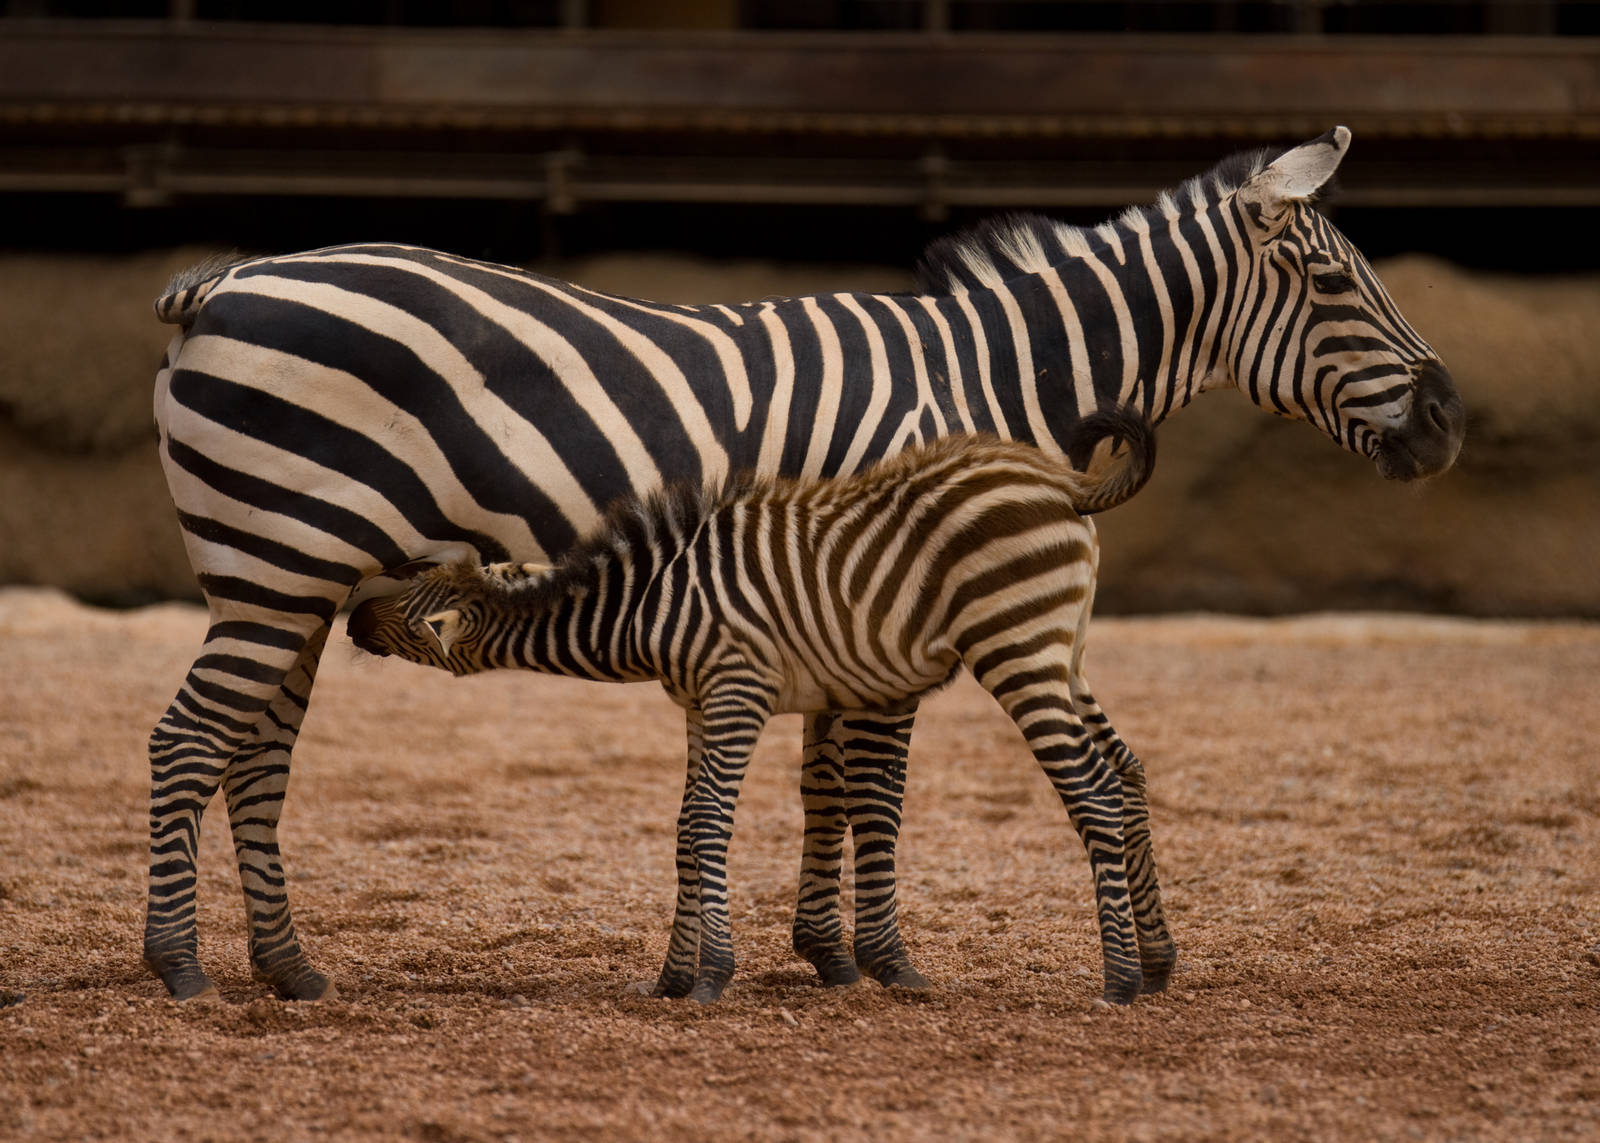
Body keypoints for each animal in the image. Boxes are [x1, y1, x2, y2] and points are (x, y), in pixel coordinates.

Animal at [348, 413, 1159, 1005]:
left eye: (407, 582)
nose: (350, 619)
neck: (648, 604)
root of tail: (1063, 481)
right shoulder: (697, 701)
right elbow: (684, 826)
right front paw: (672, 978)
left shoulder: (737, 689)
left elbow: (708, 823)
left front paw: (710, 977)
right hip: (1064, 651)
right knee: (1122, 772)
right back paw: (1156, 964)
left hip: (1018, 649)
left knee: (1090, 790)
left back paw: (1119, 980)